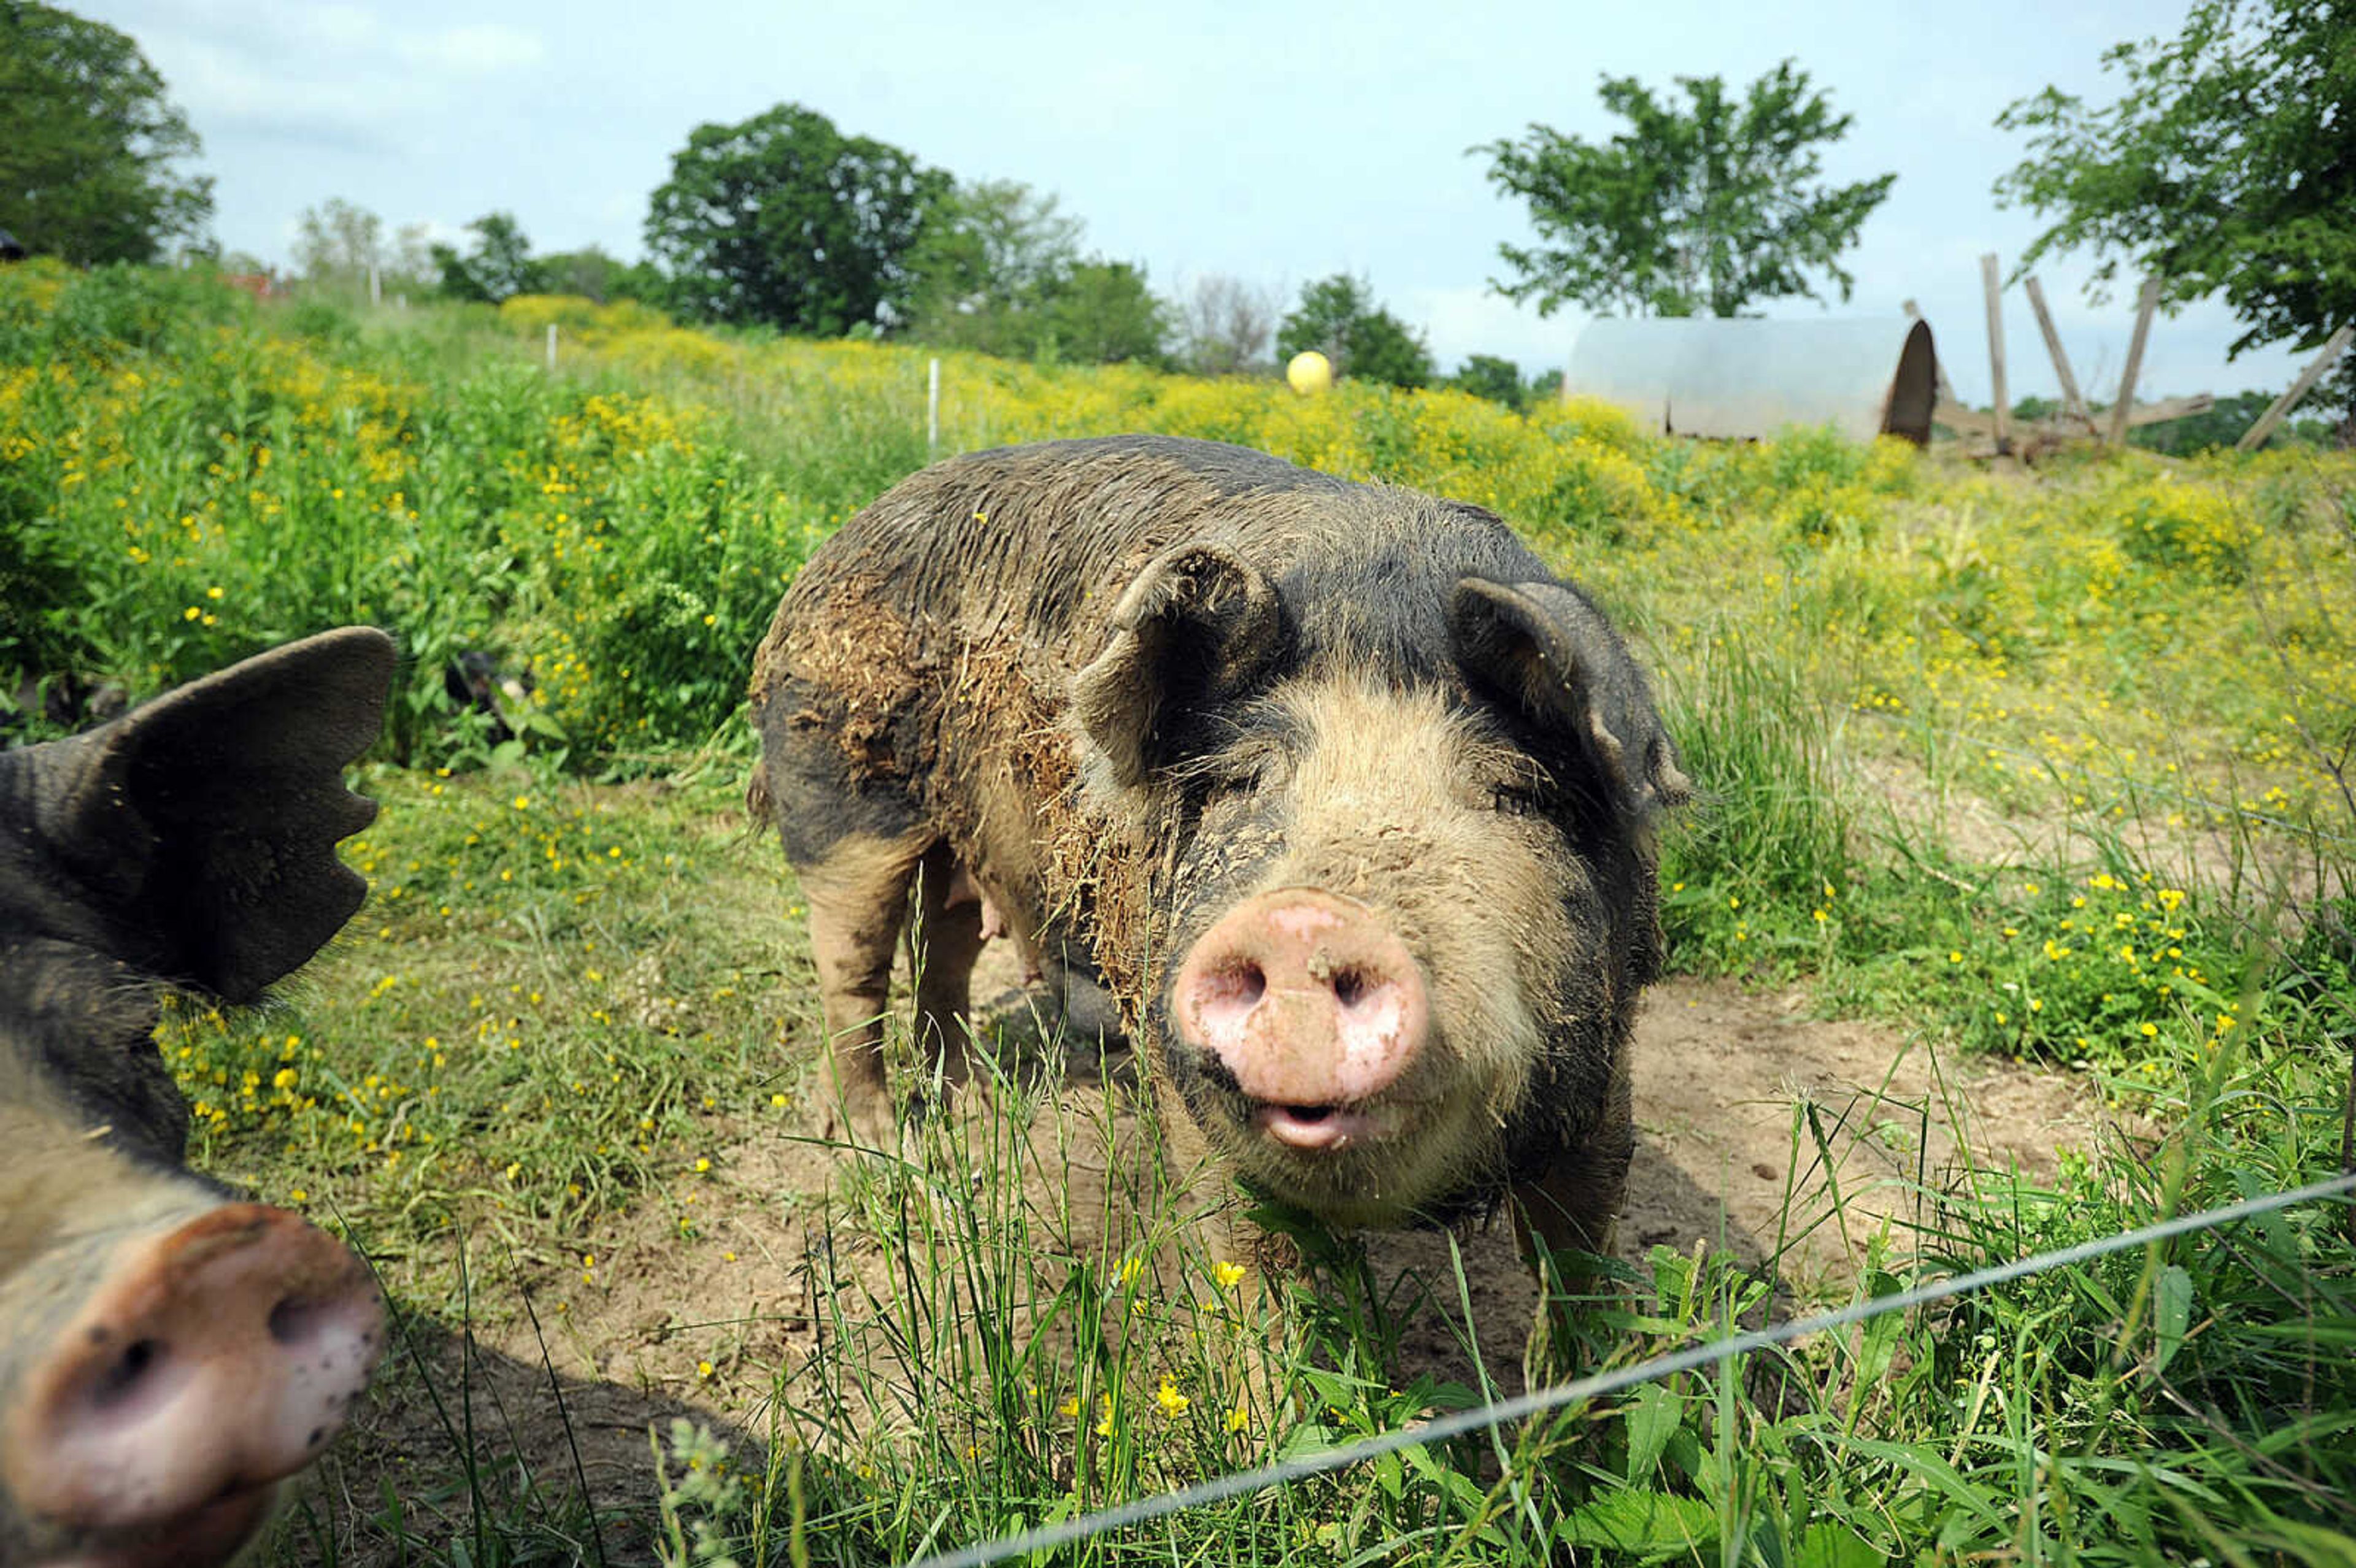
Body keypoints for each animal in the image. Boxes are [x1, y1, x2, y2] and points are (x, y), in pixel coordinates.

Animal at [744, 431, 1687, 1262]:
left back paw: (969, 1106)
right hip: (837, 788)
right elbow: (1253, 1268)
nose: (1311, 921)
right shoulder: (1182, 1071)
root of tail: (841, 538)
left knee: (944, 943)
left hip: (964, 834)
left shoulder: (1606, 1073)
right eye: (1240, 781)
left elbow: (1580, 1274)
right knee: (853, 971)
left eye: (1515, 793)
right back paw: (881, 1143)